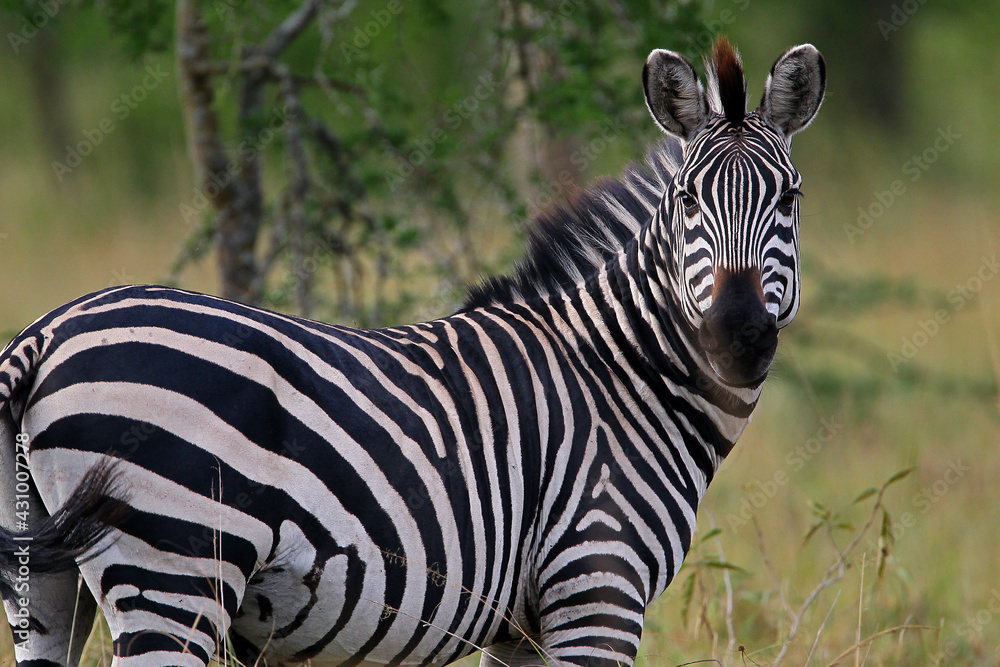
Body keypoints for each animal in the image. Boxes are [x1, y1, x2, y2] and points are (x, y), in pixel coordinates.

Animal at [0, 38, 823, 667]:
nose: (738, 335)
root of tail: (46, 333)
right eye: (687, 201)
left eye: (790, 199)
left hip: (43, 581)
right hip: (175, 571)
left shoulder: (522, 625)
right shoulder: (596, 585)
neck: (621, 377)